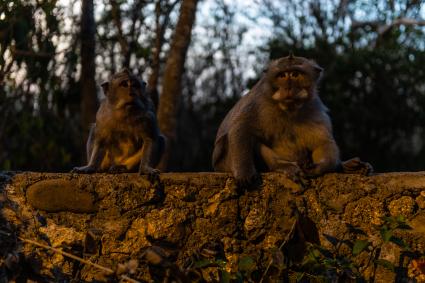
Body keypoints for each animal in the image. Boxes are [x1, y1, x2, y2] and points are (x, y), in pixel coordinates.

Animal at [212, 54, 342, 187]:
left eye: (295, 74)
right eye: (282, 75)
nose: (288, 87)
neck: (289, 109)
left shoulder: (314, 108)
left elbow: (322, 142)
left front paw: (319, 167)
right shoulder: (258, 102)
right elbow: (241, 127)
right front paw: (244, 172)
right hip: (224, 163)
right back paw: (282, 165)